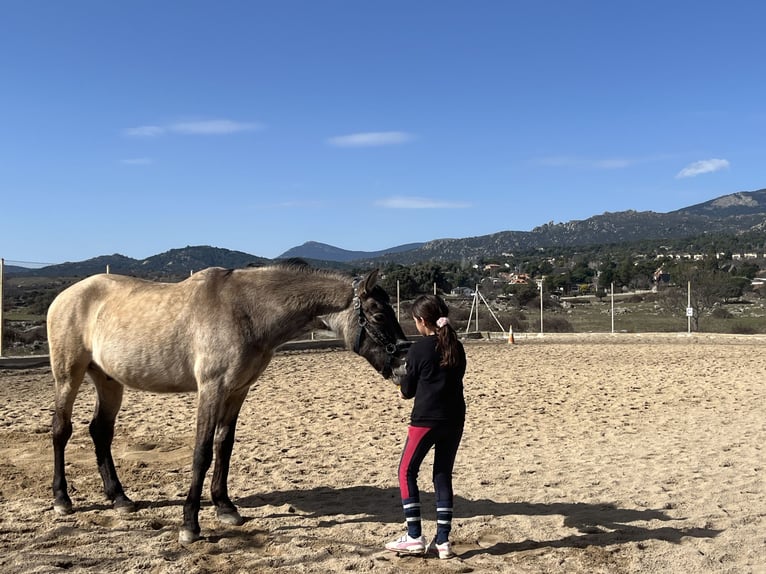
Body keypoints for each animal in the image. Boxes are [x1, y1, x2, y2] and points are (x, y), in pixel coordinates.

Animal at [47, 263, 410, 543]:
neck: (247, 310)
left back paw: (120, 498)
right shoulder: (212, 389)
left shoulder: (237, 391)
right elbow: (202, 453)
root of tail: (65, 297)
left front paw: (225, 507)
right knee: (61, 430)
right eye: (378, 314)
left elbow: (224, 445)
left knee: (100, 432)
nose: (403, 367)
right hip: (68, 375)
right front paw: (190, 525)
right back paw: (62, 499)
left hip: (108, 380)